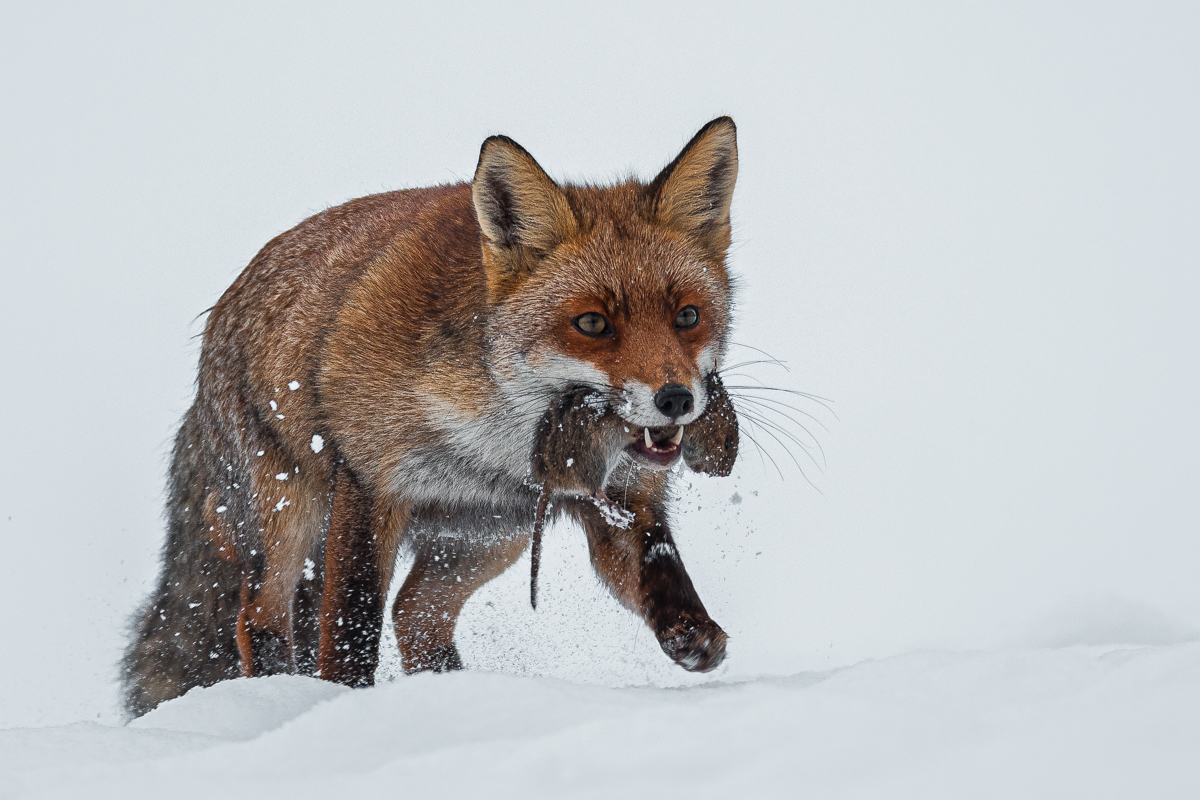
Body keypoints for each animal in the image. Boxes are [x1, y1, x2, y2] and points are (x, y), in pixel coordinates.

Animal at [121, 115, 739, 714]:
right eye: (592, 324)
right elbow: (351, 626)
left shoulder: (621, 495)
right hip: (288, 516)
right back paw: (282, 698)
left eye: (687, 316)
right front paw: (345, 704)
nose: (677, 399)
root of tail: (223, 310)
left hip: (487, 536)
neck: (497, 438)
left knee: (414, 614)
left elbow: (657, 564)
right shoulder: (370, 484)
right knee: (260, 619)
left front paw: (693, 634)